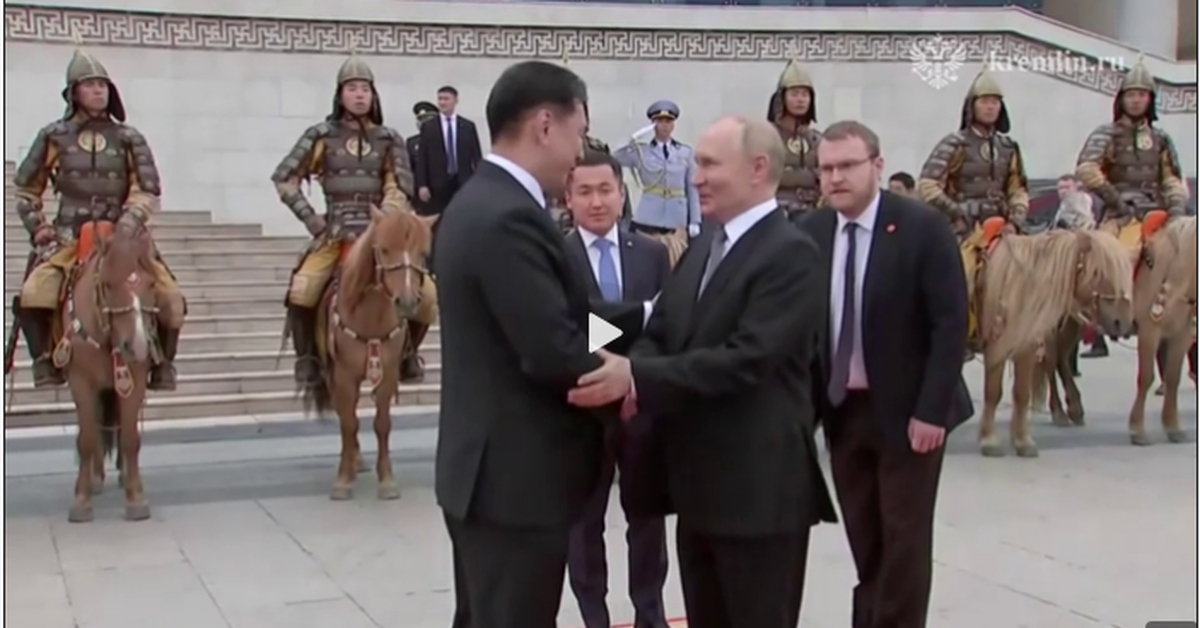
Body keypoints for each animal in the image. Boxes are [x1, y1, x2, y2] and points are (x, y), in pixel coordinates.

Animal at [55, 221, 160, 522]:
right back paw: (94, 478)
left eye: (151, 283)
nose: (137, 345)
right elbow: (87, 439)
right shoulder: (81, 382)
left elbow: (129, 438)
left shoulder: (134, 380)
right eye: (108, 284)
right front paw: (81, 500)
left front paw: (136, 499)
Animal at [302, 207, 434, 501]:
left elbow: (382, 423)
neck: (370, 314)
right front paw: (343, 480)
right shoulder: (343, 376)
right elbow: (348, 422)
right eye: (383, 249)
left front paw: (386, 480)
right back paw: (353, 461)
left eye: (422, 251)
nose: (407, 301)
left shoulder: (387, 374)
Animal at [976, 228, 1134, 457]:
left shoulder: (1025, 347)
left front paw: (1023, 441)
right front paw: (989, 441)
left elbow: (1021, 394)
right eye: (1097, 273)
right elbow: (993, 393)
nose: (1122, 322)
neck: (1016, 284)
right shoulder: (997, 346)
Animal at [1128, 216, 1197, 446]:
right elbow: (1146, 377)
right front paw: (1137, 430)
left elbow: (1173, 378)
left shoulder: (1181, 335)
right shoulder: (1149, 331)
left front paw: (1173, 427)